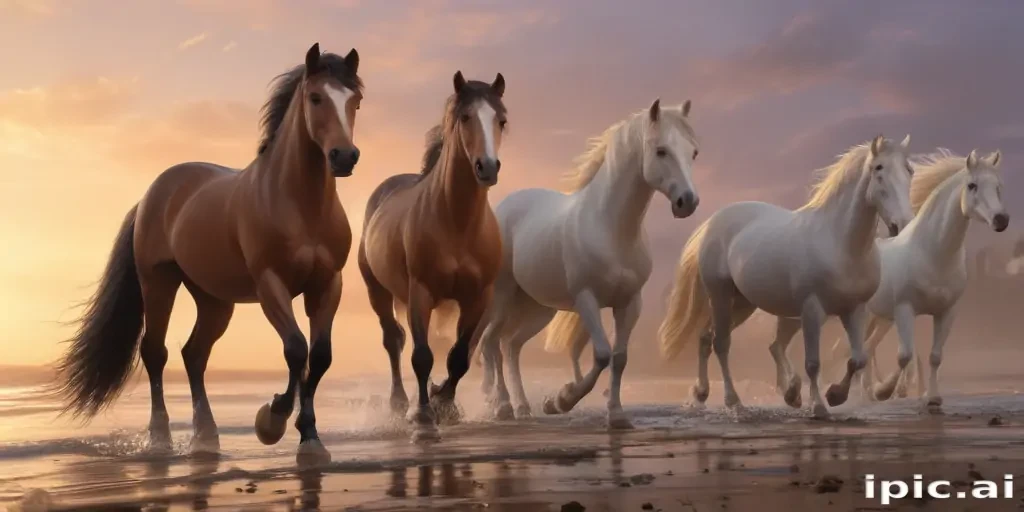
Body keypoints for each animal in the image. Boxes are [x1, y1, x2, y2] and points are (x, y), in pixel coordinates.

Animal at [52, 43, 362, 463]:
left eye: (355, 101)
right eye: (315, 98)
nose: (344, 157)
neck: (299, 205)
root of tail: (150, 195)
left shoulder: (328, 285)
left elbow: (321, 357)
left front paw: (310, 438)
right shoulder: (271, 285)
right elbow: (297, 350)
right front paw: (272, 419)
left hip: (214, 300)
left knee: (194, 355)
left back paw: (206, 436)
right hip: (159, 283)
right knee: (156, 352)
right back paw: (161, 437)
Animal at [358, 71, 507, 442]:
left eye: (501, 120)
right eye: (465, 117)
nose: (487, 167)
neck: (456, 221)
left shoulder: (477, 298)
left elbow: (459, 358)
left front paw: (444, 403)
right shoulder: (420, 292)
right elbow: (422, 357)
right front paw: (423, 415)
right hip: (378, 291)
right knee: (393, 341)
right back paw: (400, 404)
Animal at [478, 99, 701, 429]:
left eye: (693, 152)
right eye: (661, 150)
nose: (688, 201)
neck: (610, 228)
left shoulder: (630, 303)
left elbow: (619, 358)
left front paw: (616, 415)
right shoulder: (587, 299)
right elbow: (602, 354)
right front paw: (561, 400)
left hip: (538, 309)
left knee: (511, 346)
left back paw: (523, 407)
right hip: (504, 297)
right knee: (491, 343)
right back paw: (503, 406)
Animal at [657, 135, 915, 419]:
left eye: (909, 170)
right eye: (879, 169)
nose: (902, 224)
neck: (839, 243)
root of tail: (712, 223)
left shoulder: (855, 310)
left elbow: (858, 359)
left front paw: (835, 395)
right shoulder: (812, 310)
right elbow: (813, 363)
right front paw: (818, 406)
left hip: (743, 303)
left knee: (707, 339)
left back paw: (705, 394)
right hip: (721, 296)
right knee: (721, 344)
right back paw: (734, 402)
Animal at [818, 149, 1008, 410]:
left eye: (998, 186)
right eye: (972, 185)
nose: (1001, 220)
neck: (931, 253)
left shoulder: (947, 312)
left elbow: (935, 356)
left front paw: (933, 398)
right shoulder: (905, 309)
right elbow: (904, 356)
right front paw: (885, 391)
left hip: (881, 319)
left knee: (867, 348)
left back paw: (863, 393)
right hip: (866, 313)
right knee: (858, 350)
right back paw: (846, 393)